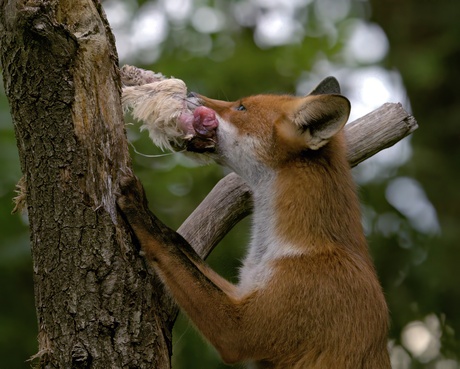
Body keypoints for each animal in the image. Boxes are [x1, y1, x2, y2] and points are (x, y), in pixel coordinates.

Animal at [117, 76, 390, 366]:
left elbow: (166, 247)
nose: (189, 93)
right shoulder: (243, 290)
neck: (294, 247)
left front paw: (139, 210)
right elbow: (179, 244)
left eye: (241, 108)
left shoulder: (240, 329)